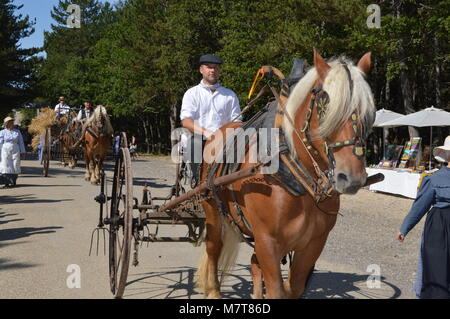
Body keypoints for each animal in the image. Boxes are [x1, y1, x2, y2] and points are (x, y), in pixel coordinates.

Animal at [197, 48, 376, 298]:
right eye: (325, 108)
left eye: (368, 111)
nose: (351, 178)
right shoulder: (267, 242)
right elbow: (276, 290)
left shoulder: (313, 244)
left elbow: (294, 287)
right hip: (212, 209)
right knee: (214, 248)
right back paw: (213, 290)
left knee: (253, 263)